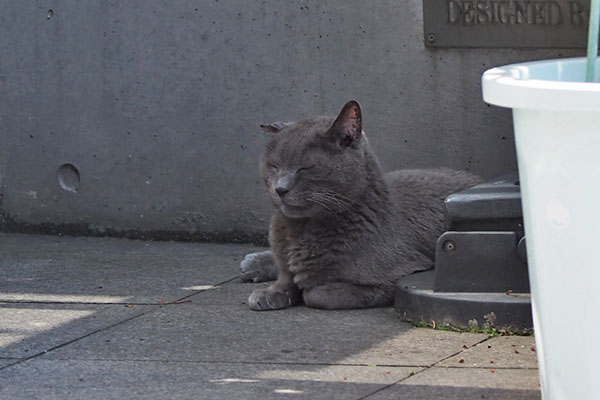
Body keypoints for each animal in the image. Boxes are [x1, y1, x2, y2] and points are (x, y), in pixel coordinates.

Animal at [241, 99, 480, 310]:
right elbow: (286, 278)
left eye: (306, 168)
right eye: (273, 166)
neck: (298, 230)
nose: (280, 188)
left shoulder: (404, 274)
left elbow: (317, 295)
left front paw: (308, 288)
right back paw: (253, 264)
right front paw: (271, 292)